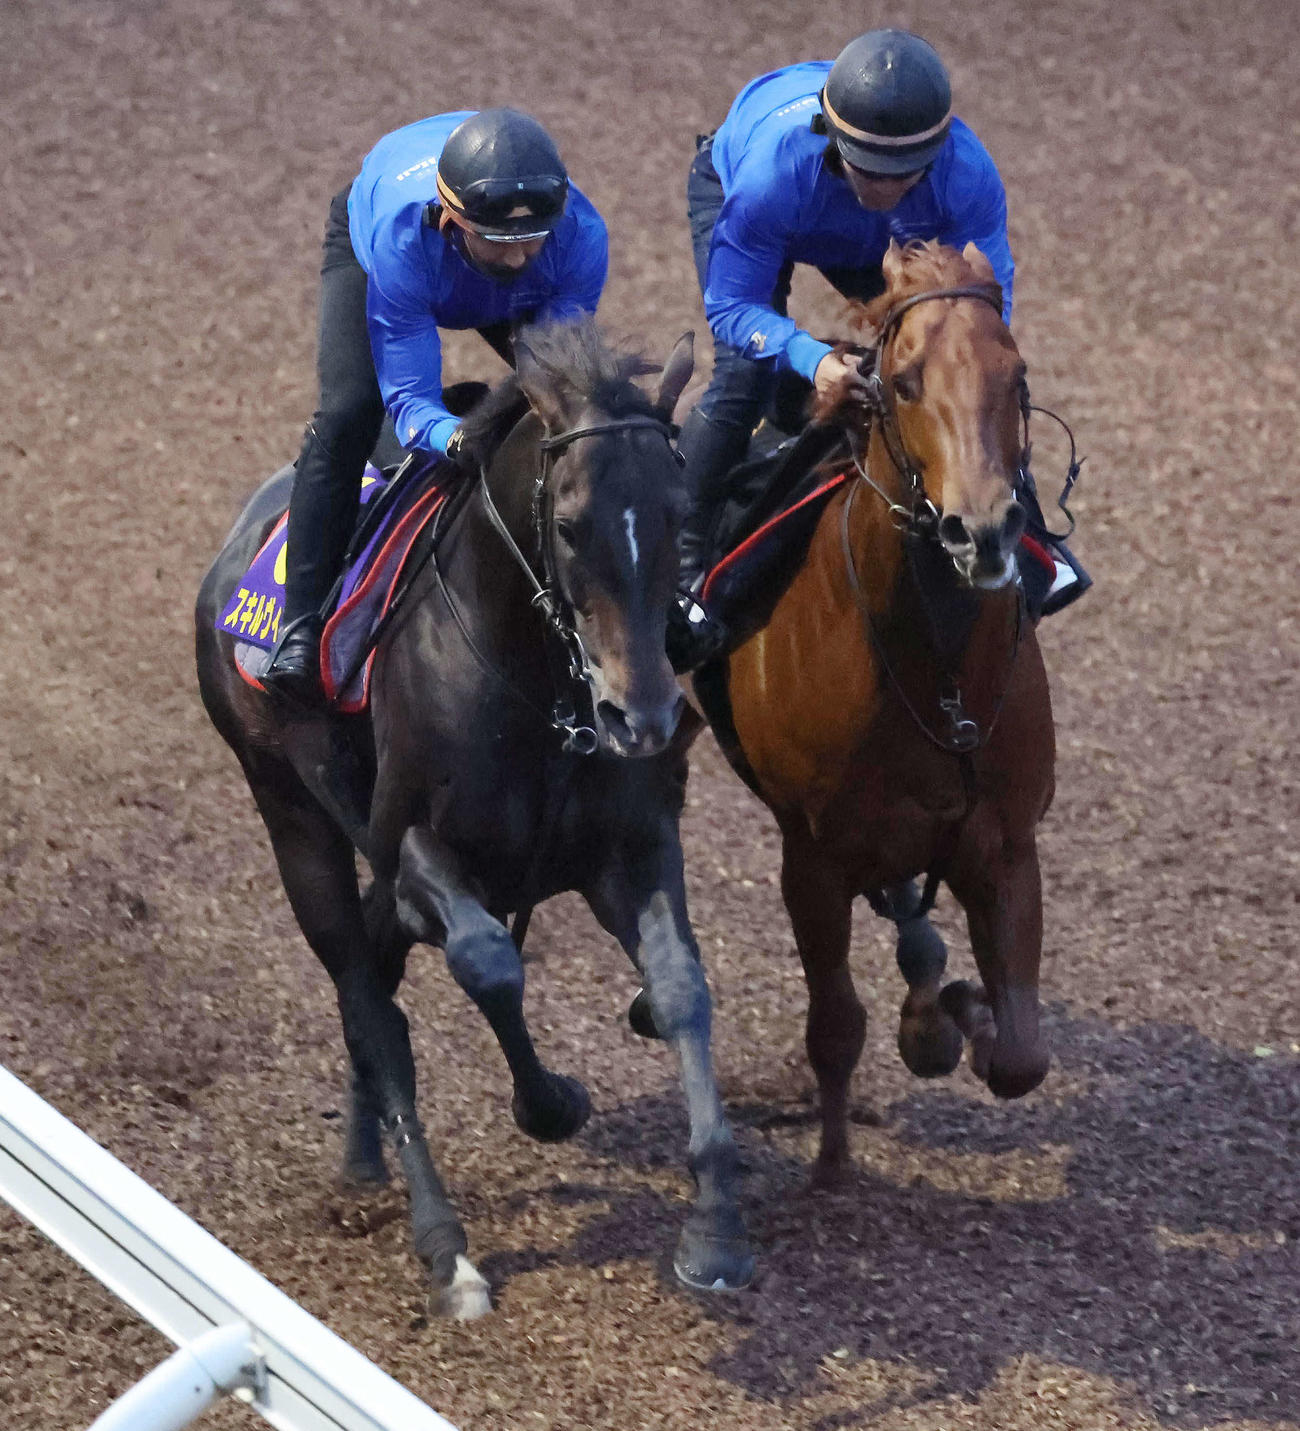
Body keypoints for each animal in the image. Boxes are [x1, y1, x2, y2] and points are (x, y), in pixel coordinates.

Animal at [195, 317, 754, 1318]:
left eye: (677, 511)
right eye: (569, 527)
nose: (641, 717)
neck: (533, 674)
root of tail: (238, 545)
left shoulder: (631, 843)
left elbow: (682, 986)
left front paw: (715, 1225)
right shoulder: (413, 848)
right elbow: (490, 965)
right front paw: (552, 1102)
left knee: (376, 980)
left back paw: (362, 1164)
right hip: (290, 812)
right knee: (369, 1000)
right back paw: (443, 1247)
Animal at [690, 239, 1056, 1187]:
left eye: (1016, 373)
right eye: (906, 382)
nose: (982, 530)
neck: (938, 674)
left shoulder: (1005, 841)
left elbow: (1020, 1054)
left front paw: (955, 1017)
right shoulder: (811, 857)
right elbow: (835, 1024)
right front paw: (831, 1164)